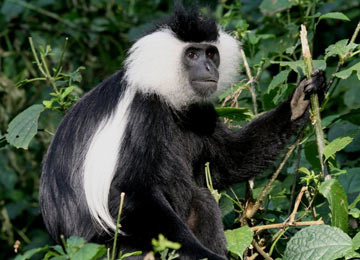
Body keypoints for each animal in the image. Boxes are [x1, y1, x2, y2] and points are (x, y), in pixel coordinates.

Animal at [40, 2, 326, 260]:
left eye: (210, 54)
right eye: (191, 55)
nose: (210, 68)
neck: (168, 100)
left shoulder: (200, 112)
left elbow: (229, 161)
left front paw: (298, 102)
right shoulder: (142, 113)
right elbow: (127, 193)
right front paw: (202, 255)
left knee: (202, 201)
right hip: (106, 248)